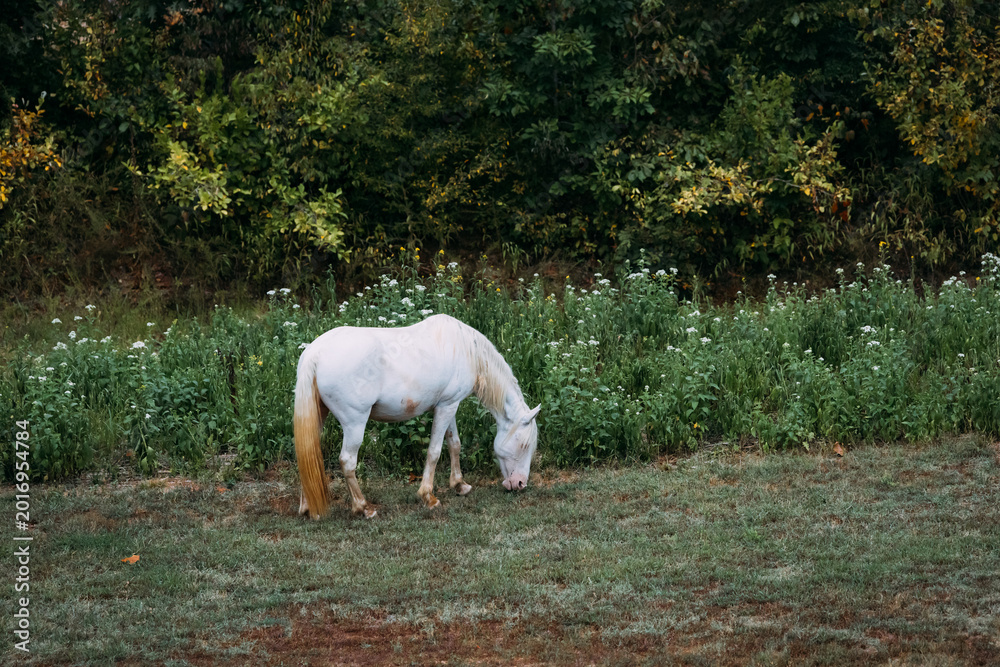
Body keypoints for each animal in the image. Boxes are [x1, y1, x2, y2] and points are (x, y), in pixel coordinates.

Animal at [293, 313, 541, 519]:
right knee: (347, 461)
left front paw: (459, 485)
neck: (466, 349)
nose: (520, 484)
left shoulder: (449, 405)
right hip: (355, 424)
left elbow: (454, 444)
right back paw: (363, 508)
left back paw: (309, 508)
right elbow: (434, 451)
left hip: (319, 416)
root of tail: (315, 353)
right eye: (524, 445)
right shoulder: (446, 407)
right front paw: (428, 497)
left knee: (307, 452)